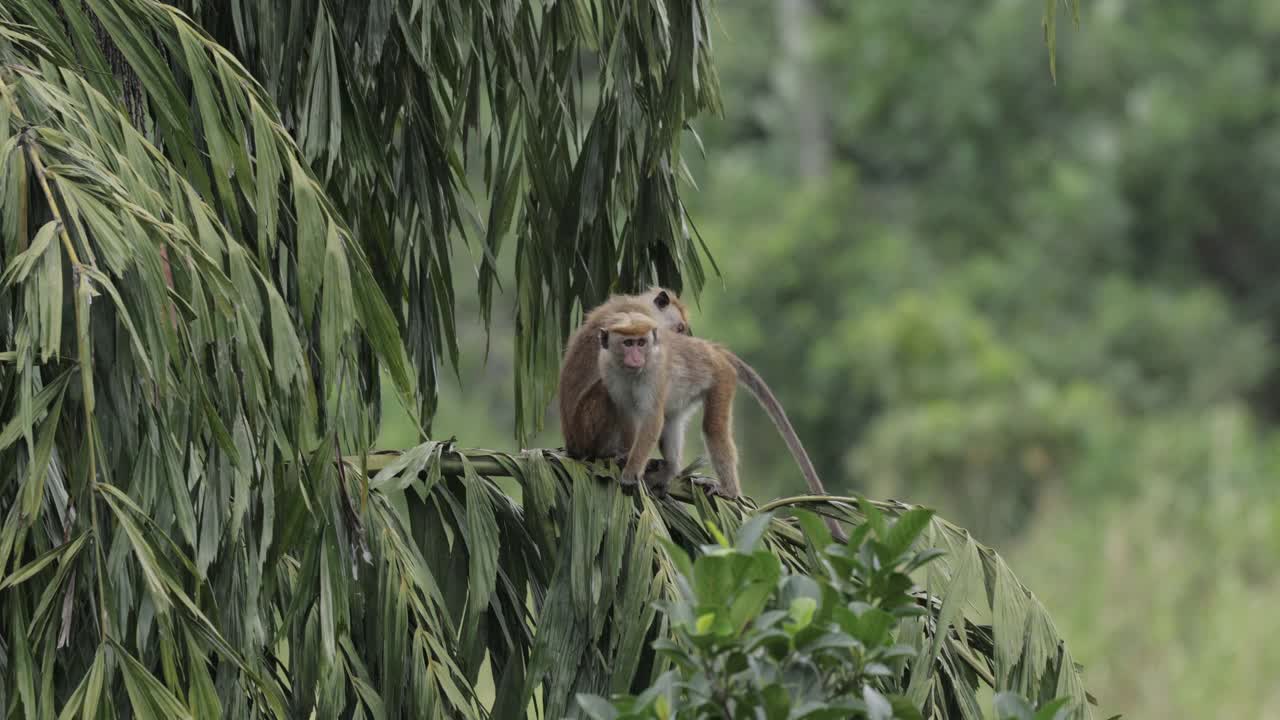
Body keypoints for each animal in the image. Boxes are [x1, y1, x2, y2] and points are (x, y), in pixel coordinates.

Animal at [599, 308, 849, 538]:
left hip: (721, 377)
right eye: (628, 343)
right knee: (672, 420)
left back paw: (728, 491)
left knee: (712, 428)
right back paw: (670, 469)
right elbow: (627, 412)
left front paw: (631, 472)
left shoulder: (653, 373)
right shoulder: (609, 370)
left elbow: (652, 419)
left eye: (640, 343)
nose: (636, 357)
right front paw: (623, 455)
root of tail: (713, 349)